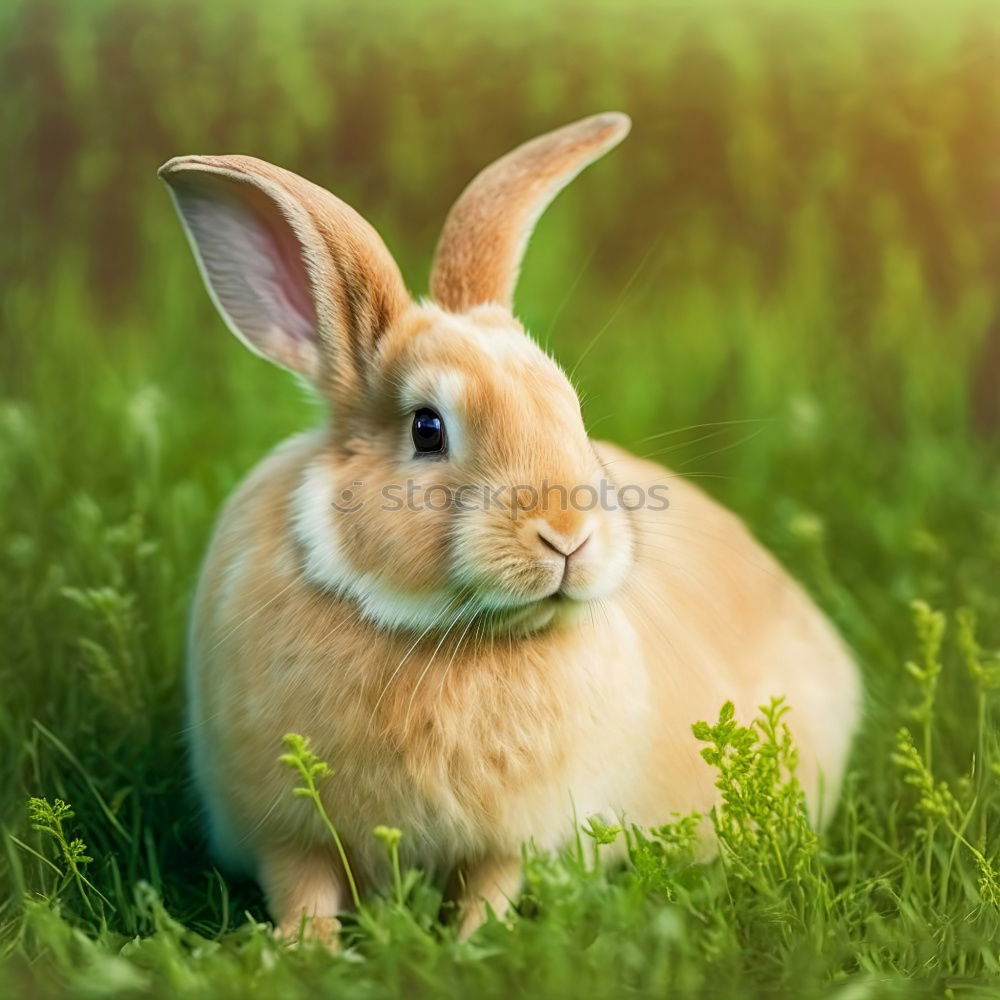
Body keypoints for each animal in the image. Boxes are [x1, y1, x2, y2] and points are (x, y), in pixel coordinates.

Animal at [162, 113, 860, 940]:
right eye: (427, 429)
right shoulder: (286, 833)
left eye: (572, 412)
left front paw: (472, 947)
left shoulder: (513, 836)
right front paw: (305, 951)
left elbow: (489, 886)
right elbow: (301, 889)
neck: (450, 636)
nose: (567, 534)